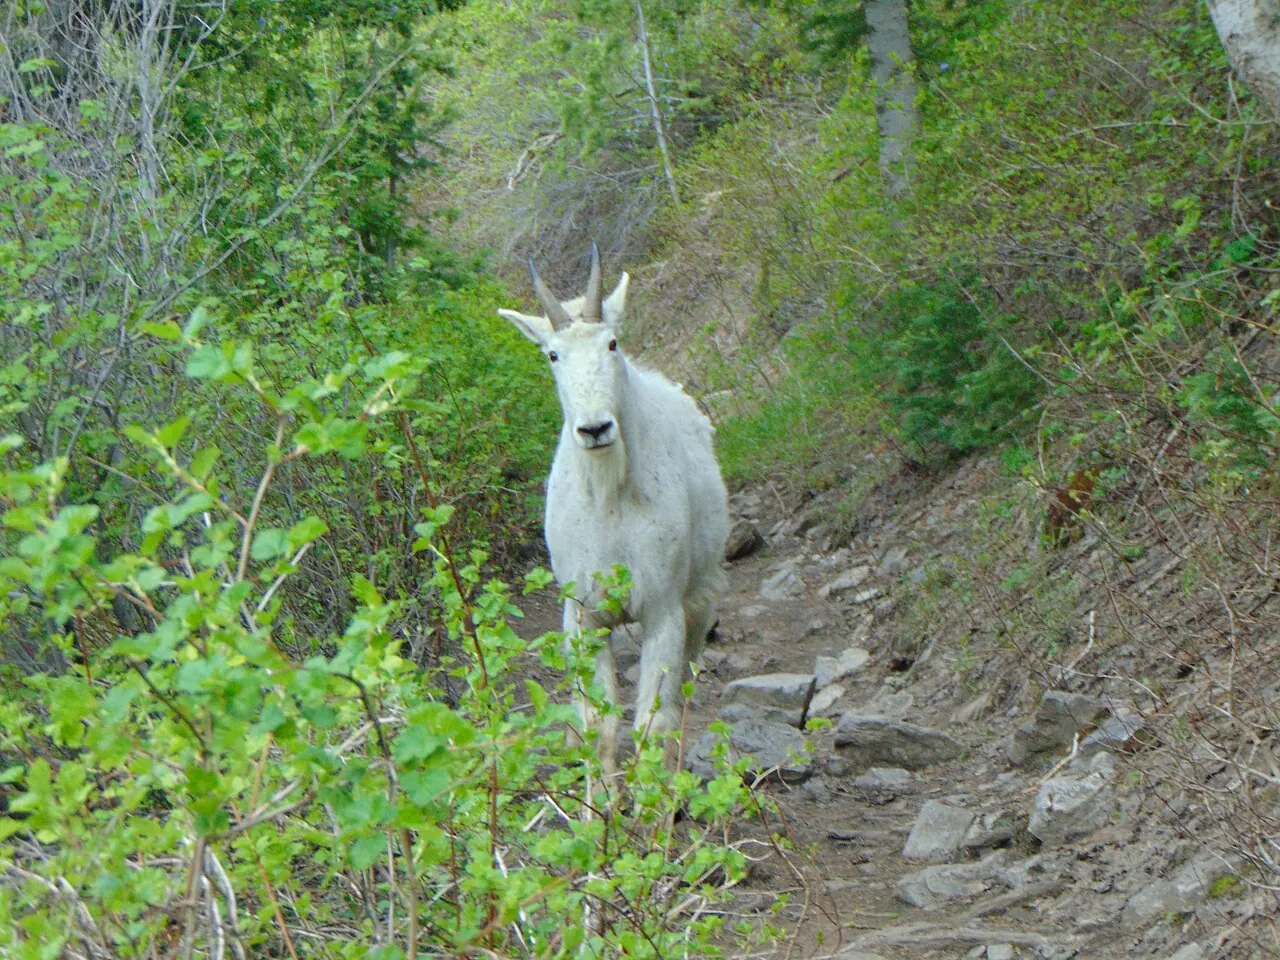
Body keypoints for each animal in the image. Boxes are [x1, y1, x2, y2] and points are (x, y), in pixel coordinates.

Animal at [499, 244, 729, 771]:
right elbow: (599, 729)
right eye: (553, 354)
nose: (595, 428)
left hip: (701, 598)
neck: (609, 499)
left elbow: (653, 728)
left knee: (684, 698)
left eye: (611, 343)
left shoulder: (663, 611)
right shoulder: (584, 617)